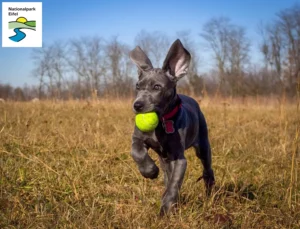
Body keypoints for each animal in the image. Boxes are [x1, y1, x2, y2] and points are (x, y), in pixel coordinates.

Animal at [130, 38, 214, 216]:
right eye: (137, 86)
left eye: (157, 87)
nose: (137, 105)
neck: (161, 122)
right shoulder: (138, 139)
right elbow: (137, 153)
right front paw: (150, 171)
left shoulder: (179, 158)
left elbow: (175, 184)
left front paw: (166, 209)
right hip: (165, 158)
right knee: (167, 174)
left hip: (203, 146)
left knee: (207, 169)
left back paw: (209, 192)